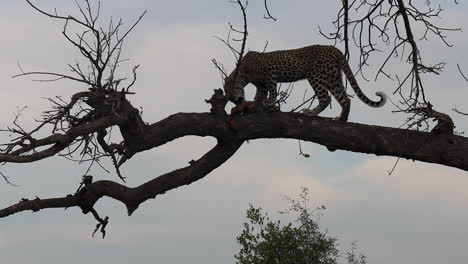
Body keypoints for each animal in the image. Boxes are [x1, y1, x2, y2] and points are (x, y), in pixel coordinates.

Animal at [225, 44, 386, 120]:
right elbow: (259, 95)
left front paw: (269, 103)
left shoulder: (270, 74)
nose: (235, 101)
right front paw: (258, 104)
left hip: (316, 76)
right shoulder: (261, 85)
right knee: (345, 99)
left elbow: (272, 91)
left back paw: (310, 113)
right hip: (333, 78)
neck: (243, 74)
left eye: (229, 91)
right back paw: (342, 119)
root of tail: (334, 49)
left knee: (326, 98)